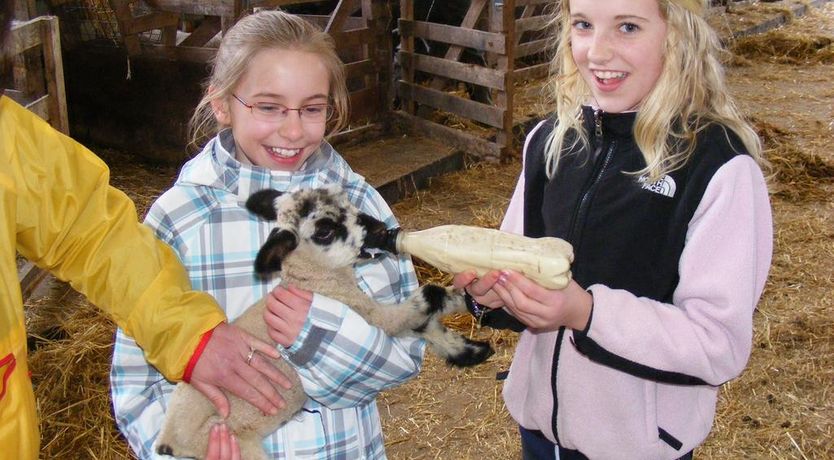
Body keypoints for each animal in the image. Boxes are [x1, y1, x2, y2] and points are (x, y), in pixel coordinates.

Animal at [154, 185, 494, 458]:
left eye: (346, 201)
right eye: (324, 231)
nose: (379, 228)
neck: (316, 282)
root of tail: (168, 440)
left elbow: (427, 325)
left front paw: (471, 345)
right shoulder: (373, 316)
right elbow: (426, 300)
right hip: (239, 445)